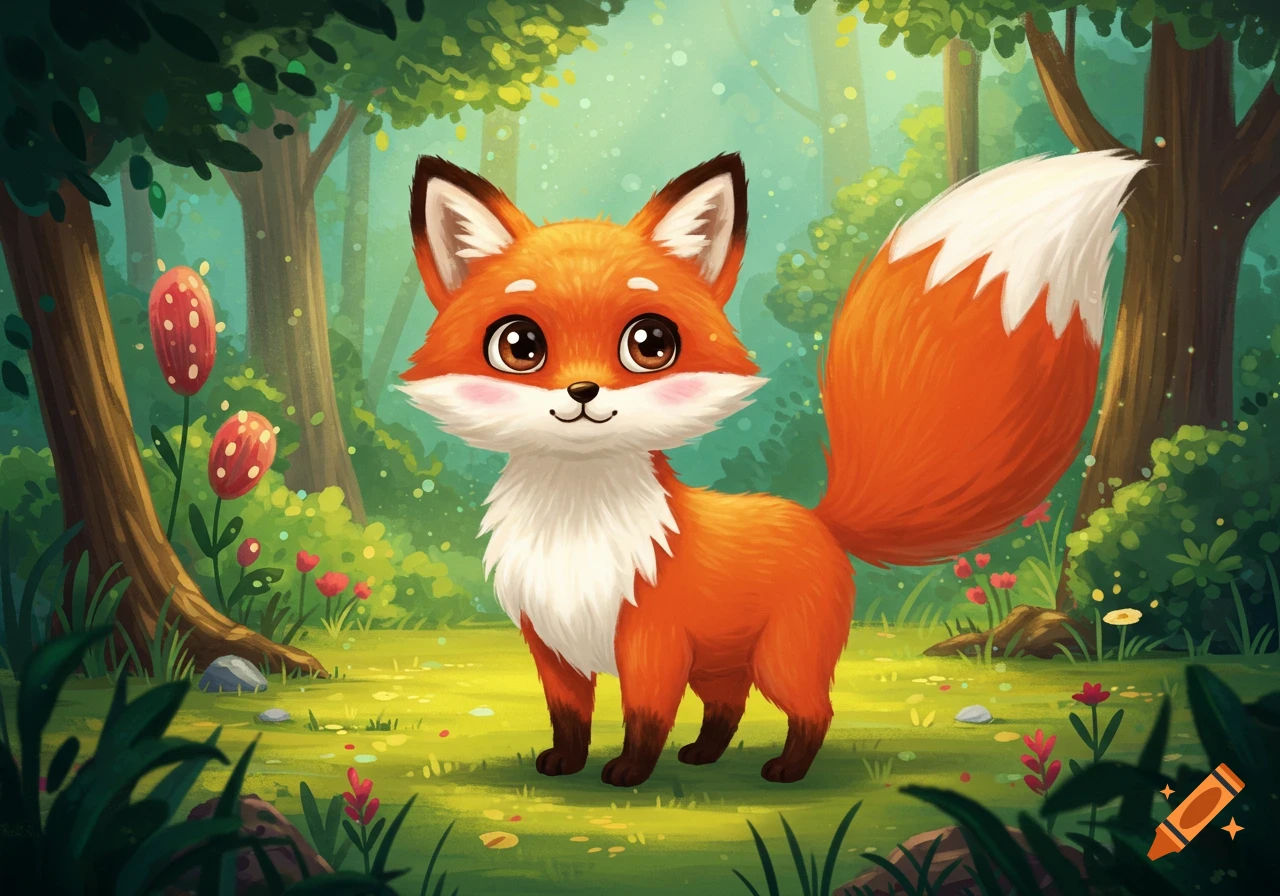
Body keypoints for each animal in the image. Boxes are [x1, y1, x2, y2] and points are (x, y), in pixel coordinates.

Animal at [399, 149, 1144, 787]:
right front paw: (565, 764)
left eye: (650, 343)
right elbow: (570, 718)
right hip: (723, 663)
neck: (577, 529)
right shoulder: (551, 646)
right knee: (727, 708)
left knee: (812, 710)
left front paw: (629, 776)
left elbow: (644, 718)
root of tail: (820, 519)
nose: (583, 392)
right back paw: (703, 756)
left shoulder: (652, 642)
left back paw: (785, 771)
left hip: (782, 659)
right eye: (519, 345)